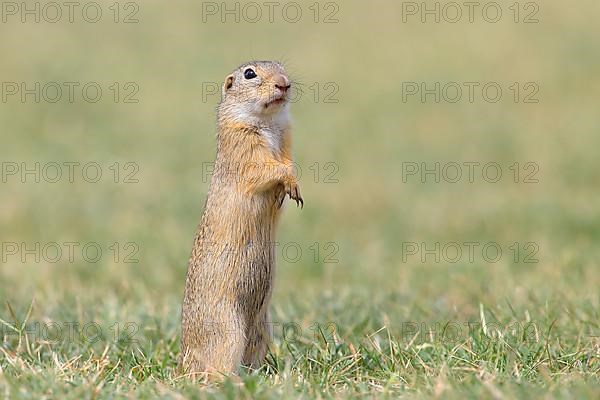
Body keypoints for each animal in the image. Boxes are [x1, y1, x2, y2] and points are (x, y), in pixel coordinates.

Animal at [177, 61, 300, 376]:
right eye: (249, 74)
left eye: (282, 67)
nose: (284, 83)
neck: (269, 123)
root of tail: (184, 363)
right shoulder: (243, 145)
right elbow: (265, 168)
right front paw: (289, 183)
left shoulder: (287, 139)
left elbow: (288, 161)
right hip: (227, 330)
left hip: (262, 329)